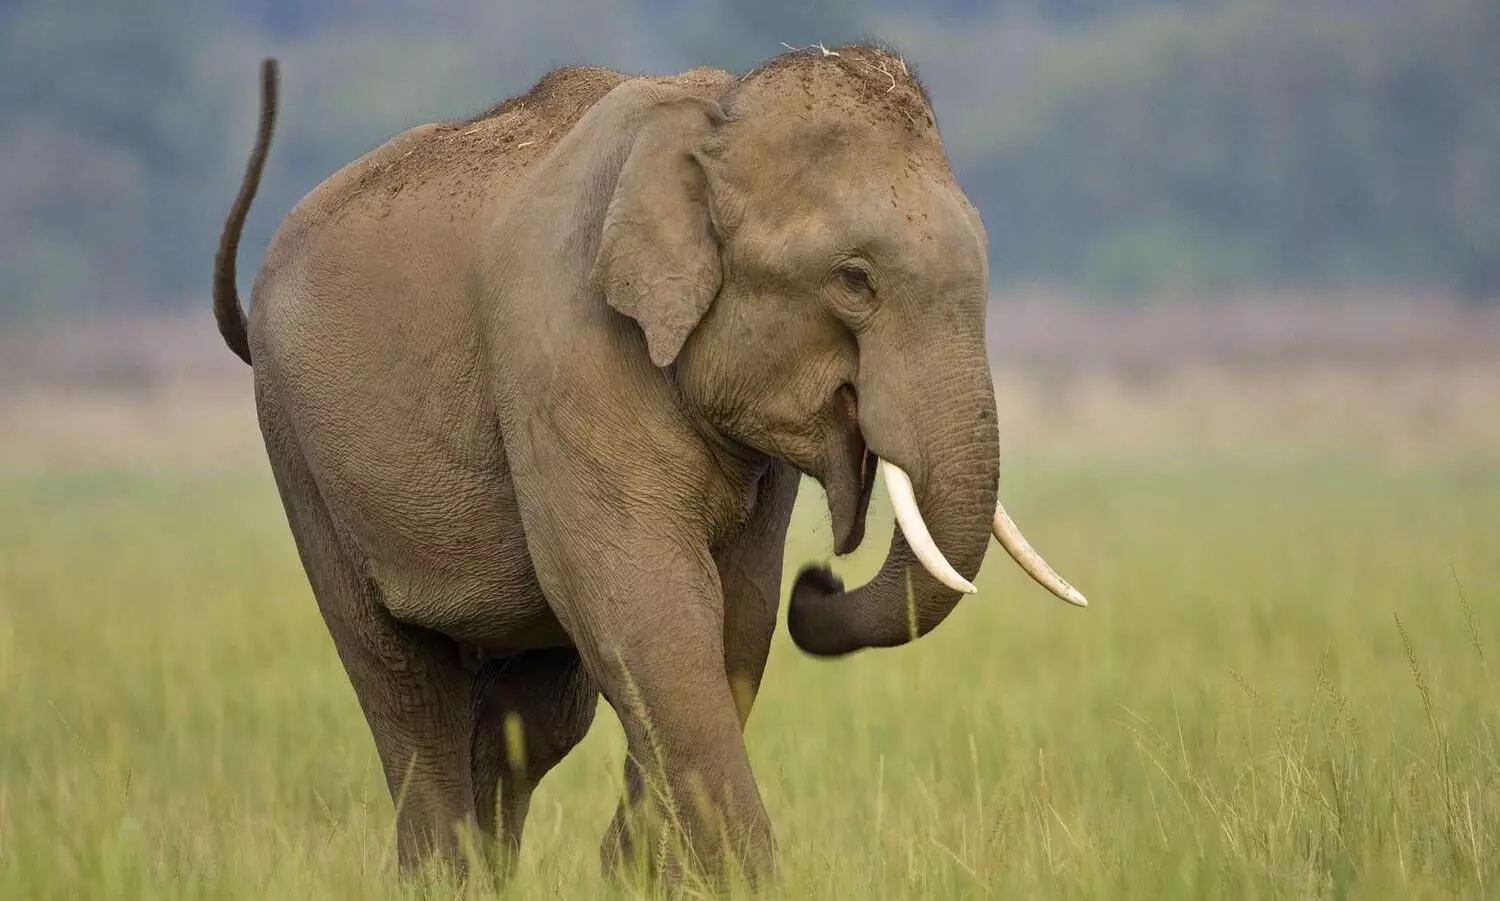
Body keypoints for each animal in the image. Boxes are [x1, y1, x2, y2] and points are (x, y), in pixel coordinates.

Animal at [211, 44, 1087, 886]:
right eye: (854, 279)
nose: (821, 580)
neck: (711, 116)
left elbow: (735, 618)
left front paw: (637, 868)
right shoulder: (565, 352)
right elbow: (652, 607)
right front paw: (726, 875)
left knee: (535, 714)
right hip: (297, 449)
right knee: (404, 682)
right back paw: (441, 873)